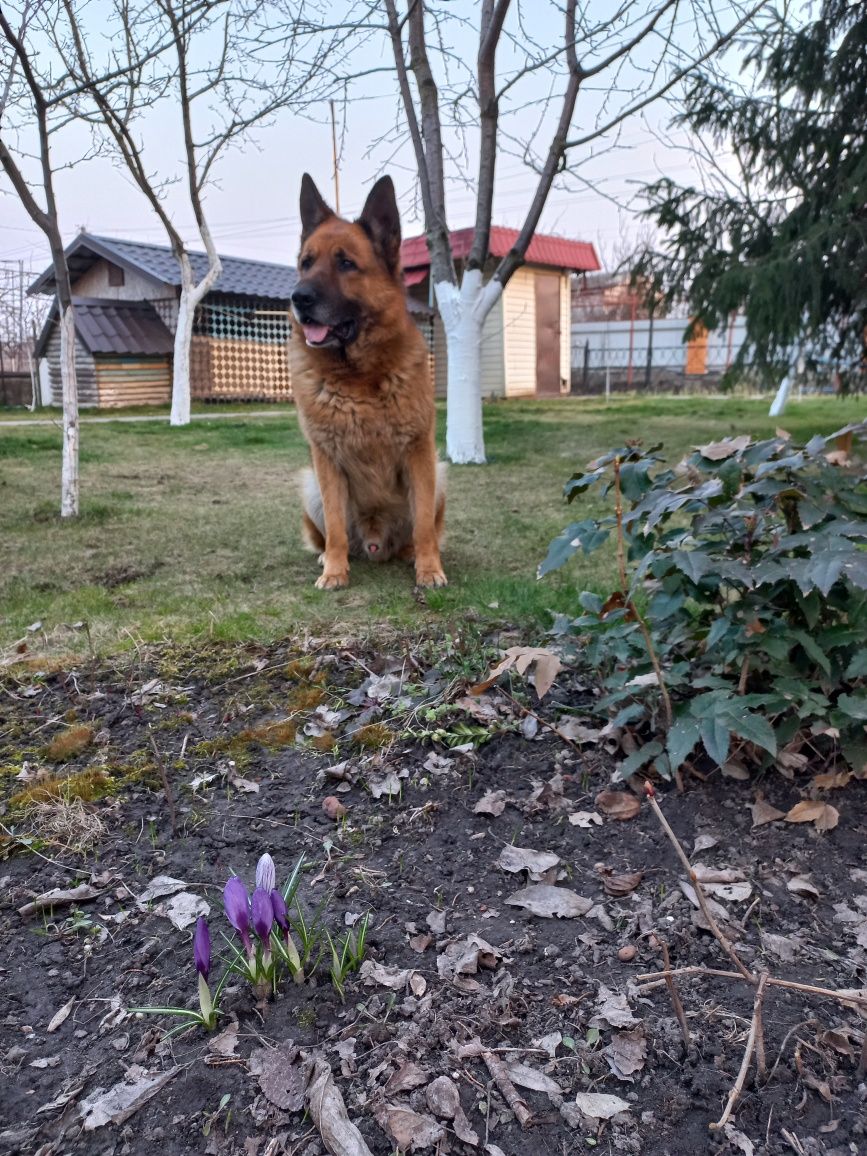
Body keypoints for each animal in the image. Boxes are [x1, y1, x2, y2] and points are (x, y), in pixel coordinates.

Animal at [290, 172, 448, 591]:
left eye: (346, 263)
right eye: (306, 263)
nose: (298, 297)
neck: (358, 376)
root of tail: (376, 543)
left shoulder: (419, 453)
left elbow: (424, 526)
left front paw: (429, 569)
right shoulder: (326, 462)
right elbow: (335, 529)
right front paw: (334, 571)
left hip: (439, 474)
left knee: (422, 529)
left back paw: (411, 553)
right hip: (310, 484)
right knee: (329, 534)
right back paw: (328, 557)